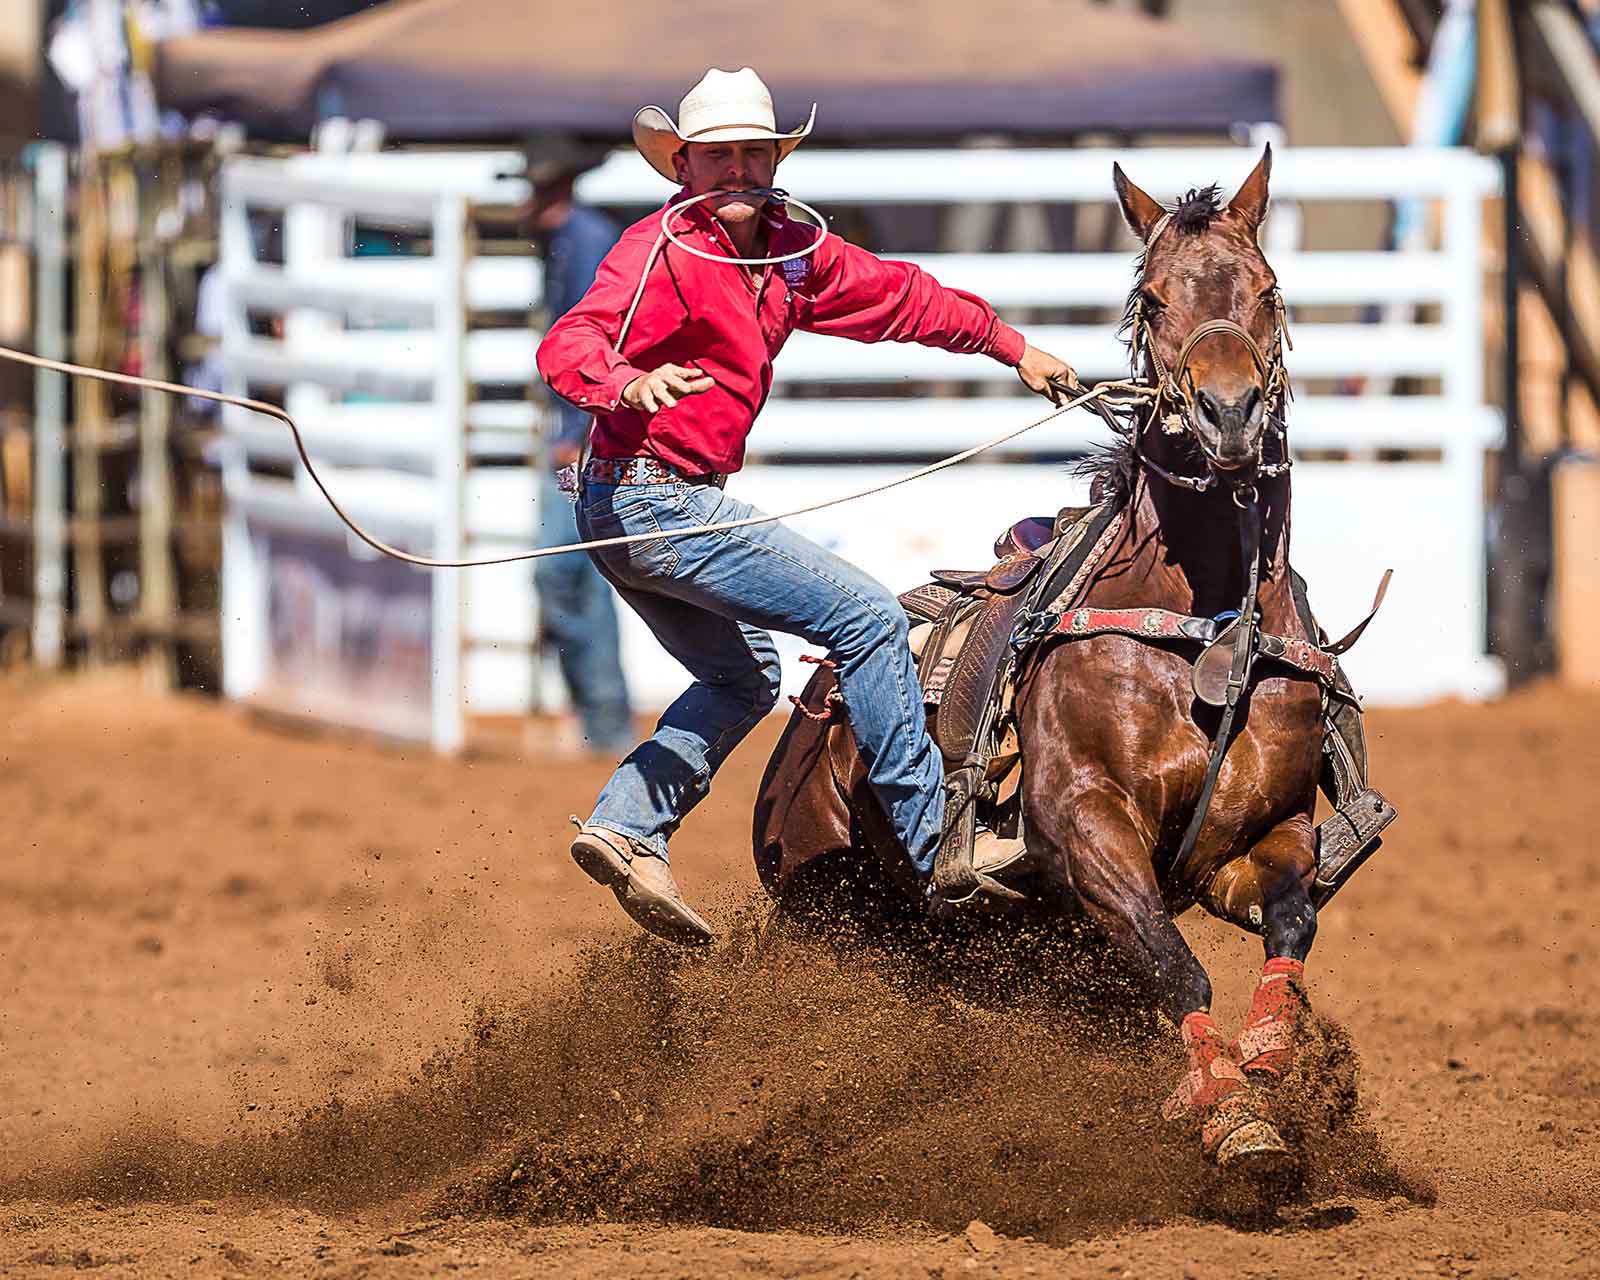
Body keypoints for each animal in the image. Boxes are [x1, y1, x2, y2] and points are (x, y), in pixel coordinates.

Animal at [755, 150, 1331, 1177]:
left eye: (1267, 291)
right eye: (1151, 299)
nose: (1227, 414)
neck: (1203, 631)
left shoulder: (1266, 831)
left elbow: (1289, 928)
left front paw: (1261, 1065)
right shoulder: (1086, 830)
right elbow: (1176, 966)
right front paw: (1234, 1117)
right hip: (816, 897)